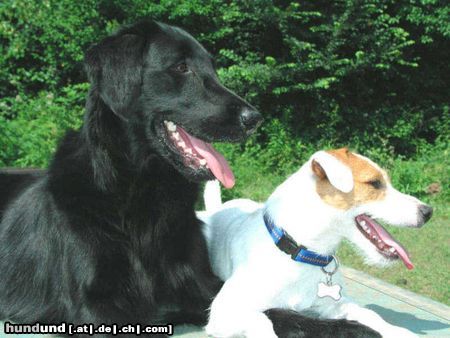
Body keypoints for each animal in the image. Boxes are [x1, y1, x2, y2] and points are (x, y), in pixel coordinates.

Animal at [0, 21, 380, 338]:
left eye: (212, 67)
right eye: (181, 67)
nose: (253, 118)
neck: (143, 195)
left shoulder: (203, 289)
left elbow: (280, 314)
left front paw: (349, 327)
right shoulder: (95, 308)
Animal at [200, 148, 432, 338]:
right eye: (374, 183)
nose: (428, 212)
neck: (301, 255)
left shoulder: (335, 306)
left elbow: (370, 314)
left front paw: (401, 332)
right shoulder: (223, 312)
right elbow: (261, 321)